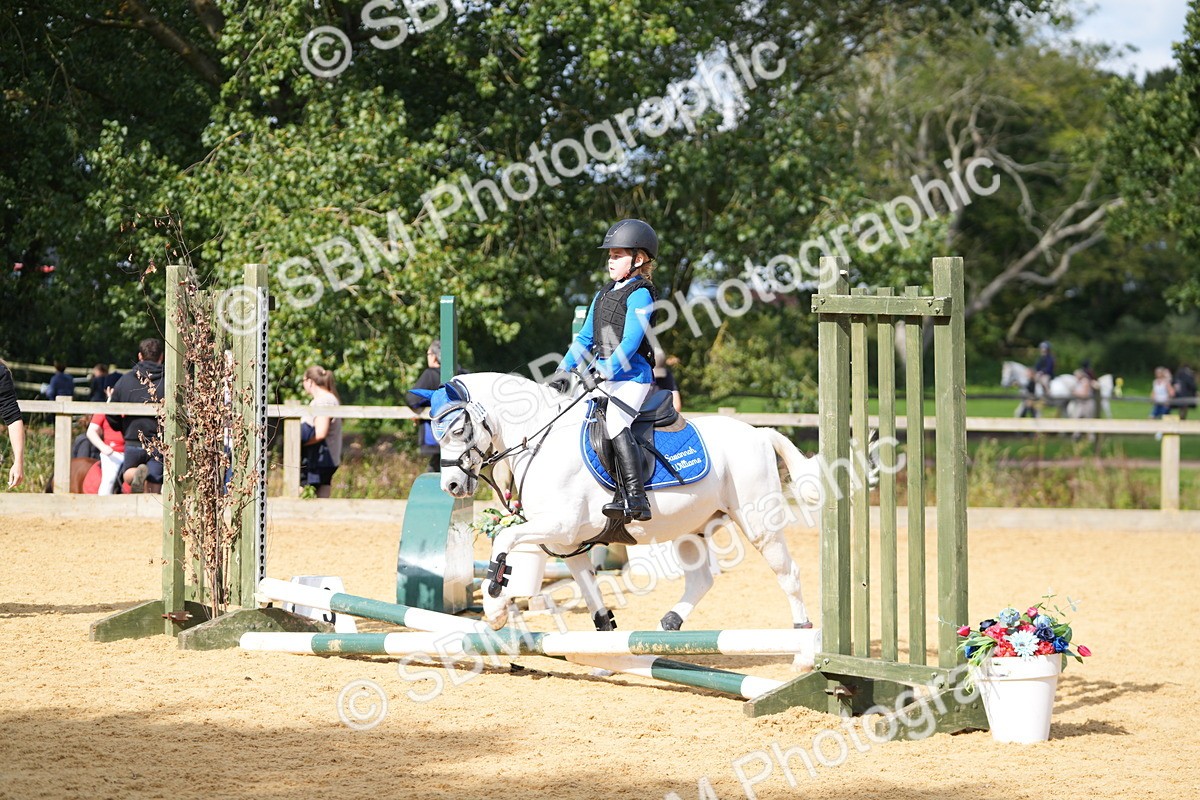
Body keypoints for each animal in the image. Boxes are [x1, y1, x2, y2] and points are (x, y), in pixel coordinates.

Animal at [430, 372, 840, 670]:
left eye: (458, 430)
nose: (451, 485)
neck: (543, 442)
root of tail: (759, 433)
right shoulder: (567, 542)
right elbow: (593, 599)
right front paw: (607, 653)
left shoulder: (559, 524)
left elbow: (504, 542)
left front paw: (496, 608)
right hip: (691, 529)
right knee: (702, 580)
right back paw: (666, 629)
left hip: (757, 524)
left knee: (788, 575)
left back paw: (802, 650)